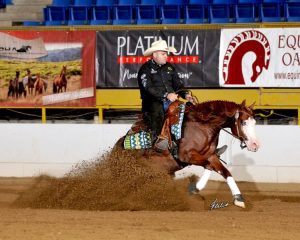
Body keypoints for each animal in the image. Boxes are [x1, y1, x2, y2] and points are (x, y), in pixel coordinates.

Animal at [113, 99, 258, 208]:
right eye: (243, 122)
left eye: (254, 122)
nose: (255, 145)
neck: (202, 125)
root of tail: (118, 146)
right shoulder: (187, 156)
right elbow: (208, 166)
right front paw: (195, 188)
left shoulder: (211, 155)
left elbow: (226, 172)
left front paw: (238, 198)